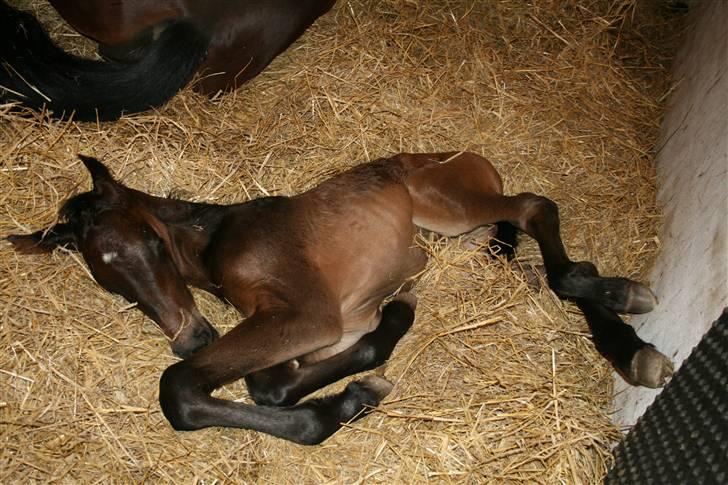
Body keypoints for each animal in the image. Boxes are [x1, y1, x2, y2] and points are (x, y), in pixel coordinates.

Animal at [8, 153, 672, 444]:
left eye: (151, 240)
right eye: (107, 277)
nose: (193, 335)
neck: (220, 235)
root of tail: (477, 162)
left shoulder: (310, 312)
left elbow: (185, 389)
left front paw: (337, 406)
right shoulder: (335, 321)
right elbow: (273, 384)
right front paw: (357, 388)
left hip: (449, 208)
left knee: (535, 208)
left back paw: (626, 305)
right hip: (466, 239)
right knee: (540, 254)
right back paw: (627, 339)